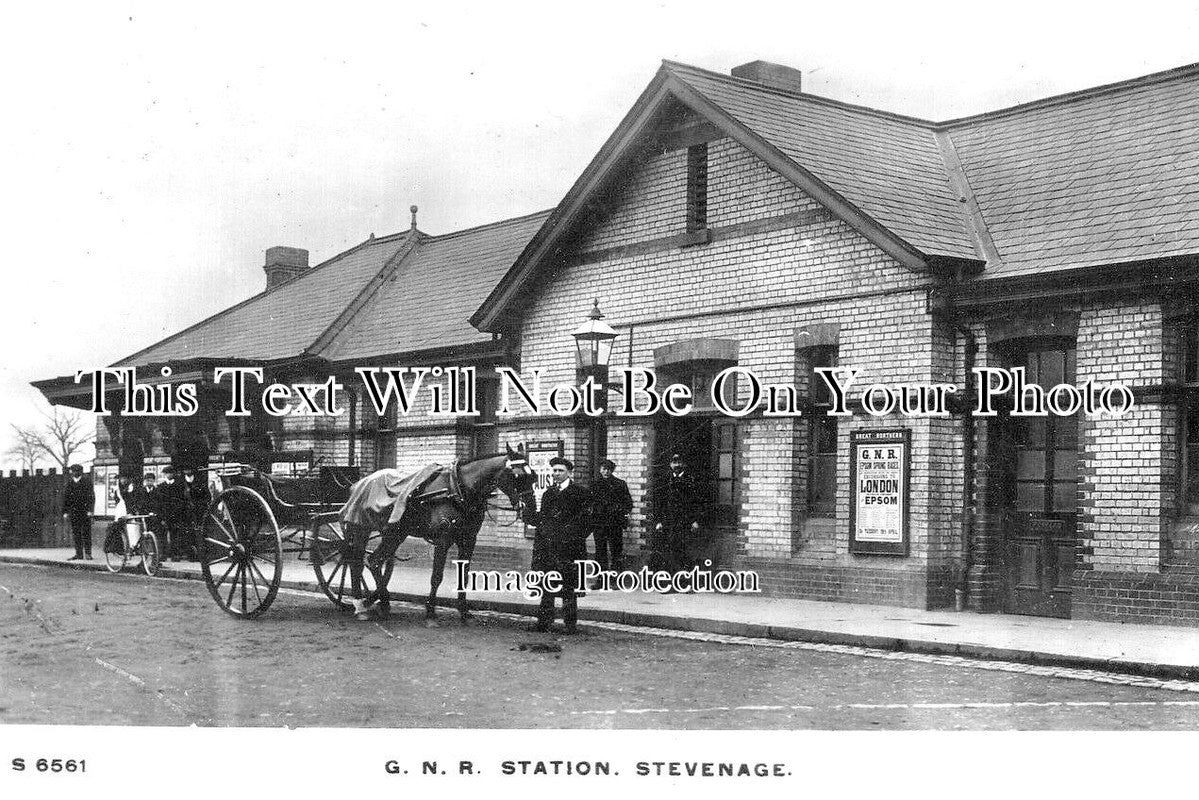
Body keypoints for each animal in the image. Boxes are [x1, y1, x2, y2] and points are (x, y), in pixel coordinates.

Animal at [340, 443, 532, 623]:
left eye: (533, 476)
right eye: (516, 476)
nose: (530, 509)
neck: (458, 489)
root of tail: (359, 484)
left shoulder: (469, 540)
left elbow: (464, 576)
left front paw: (464, 612)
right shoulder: (443, 540)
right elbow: (436, 577)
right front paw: (431, 612)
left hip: (395, 534)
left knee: (372, 561)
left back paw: (377, 602)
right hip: (361, 529)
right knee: (358, 561)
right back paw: (365, 604)